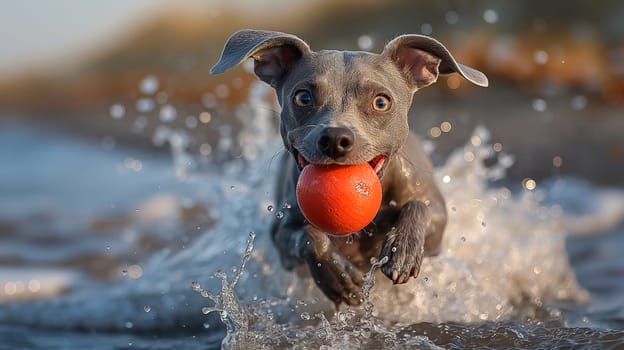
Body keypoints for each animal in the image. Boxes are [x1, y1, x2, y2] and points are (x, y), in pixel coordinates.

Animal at [212, 28, 490, 306]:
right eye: (303, 97)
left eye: (381, 102)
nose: (335, 138)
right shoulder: (282, 234)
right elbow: (309, 235)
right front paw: (336, 274)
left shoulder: (436, 217)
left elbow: (419, 207)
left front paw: (403, 249)